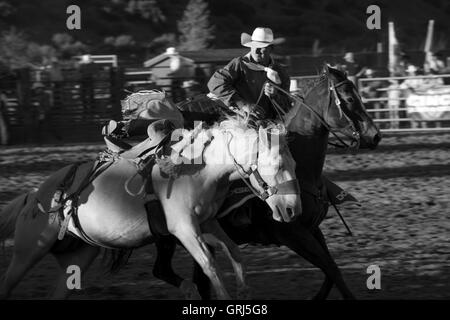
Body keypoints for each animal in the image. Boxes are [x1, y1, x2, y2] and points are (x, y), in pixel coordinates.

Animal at [153, 65, 382, 300]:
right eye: (349, 99)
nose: (375, 136)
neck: (303, 172)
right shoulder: (293, 234)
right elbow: (332, 268)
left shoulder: (313, 229)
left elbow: (331, 271)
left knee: (172, 272)